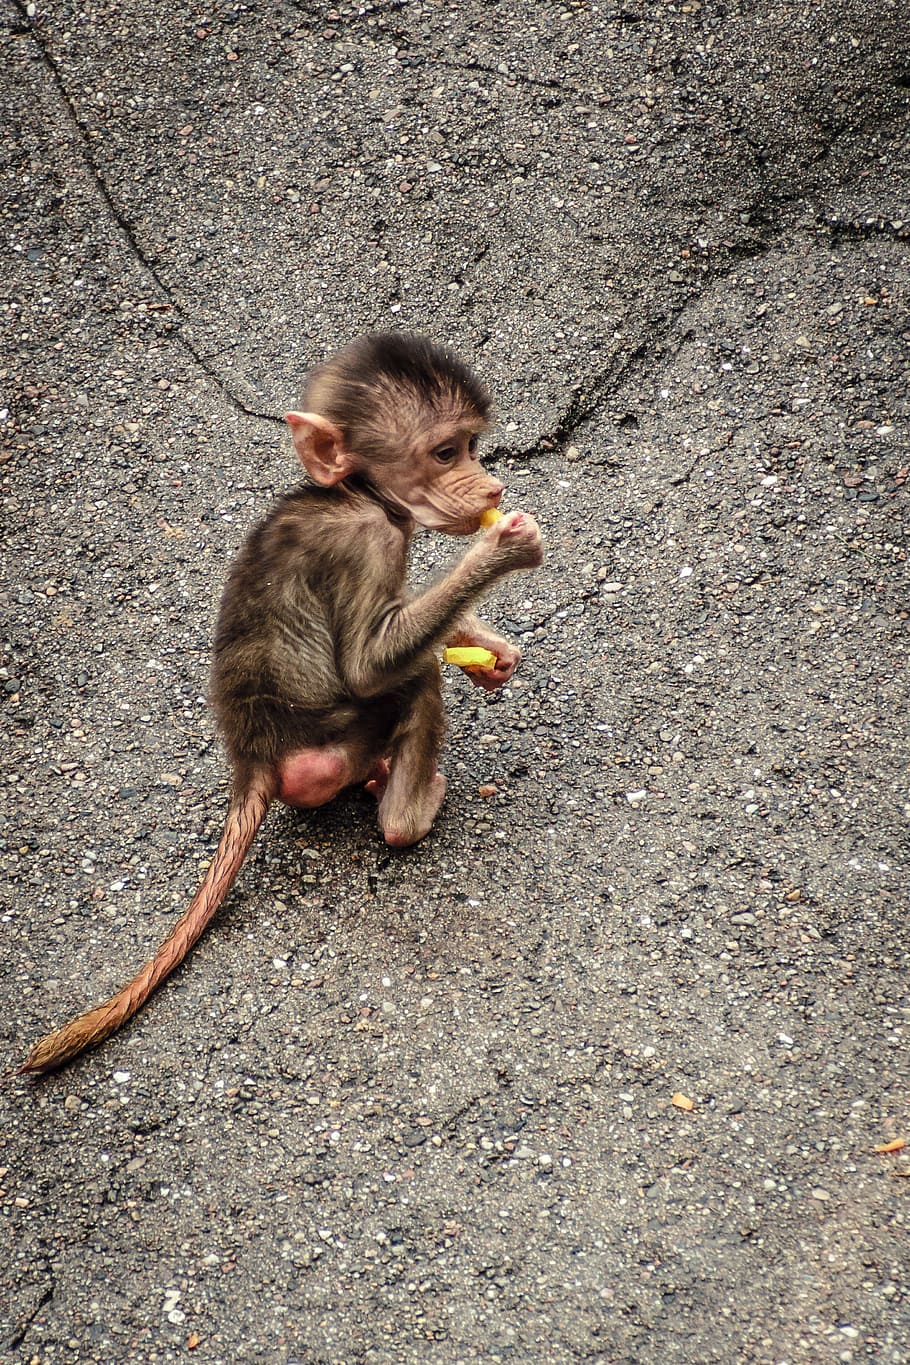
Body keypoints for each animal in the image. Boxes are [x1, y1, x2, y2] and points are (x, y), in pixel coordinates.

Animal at [19, 332, 544, 1075]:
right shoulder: (366, 543)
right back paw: (407, 814)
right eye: (447, 452)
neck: (354, 491)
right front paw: (502, 549)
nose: (492, 487)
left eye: (473, 444)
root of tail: (254, 759)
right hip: (332, 745)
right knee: (411, 685)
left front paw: (484, 643)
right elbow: (370, 663)